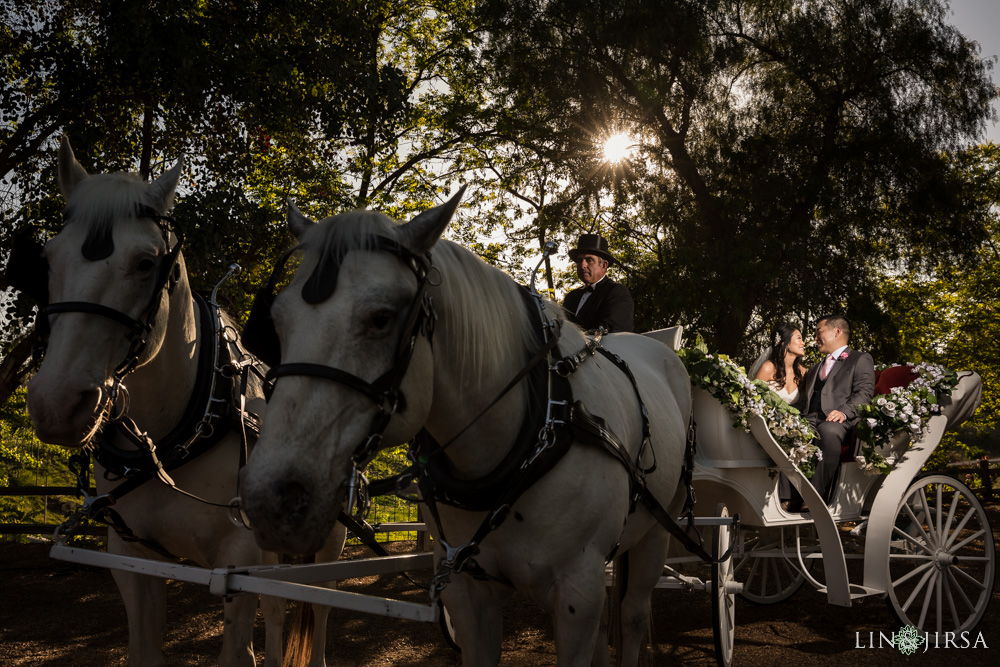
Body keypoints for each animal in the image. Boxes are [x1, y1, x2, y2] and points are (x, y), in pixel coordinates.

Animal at [25, 138, 346, 664]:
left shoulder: (238, 561)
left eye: (145, 263)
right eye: (49, 259)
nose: (57, 402)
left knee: (317, 609)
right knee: (279, 606)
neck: (176, 434)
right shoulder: (133, 560)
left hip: (328, 541)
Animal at [241, 190, 692, 664]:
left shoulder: (578, 595)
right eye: (276, 320)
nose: (270, 500)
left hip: (656, 533)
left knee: (633, 616)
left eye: (382, 317)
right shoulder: (466, 590)